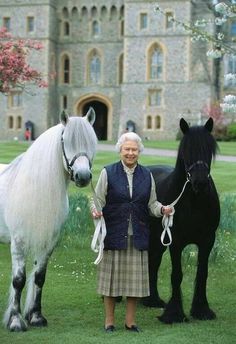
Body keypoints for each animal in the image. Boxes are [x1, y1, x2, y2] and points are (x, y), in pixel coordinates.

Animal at [0, 107, 97, 330]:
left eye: (92, 140)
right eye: (65, 140)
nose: (83, 176)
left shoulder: (48, 243)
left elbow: (39, 278)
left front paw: (36, 317)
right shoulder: (18, 243)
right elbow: (18, 280)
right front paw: (16, 321)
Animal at [144, 117, 221, 322]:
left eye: (209, 149)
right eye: (186, 150)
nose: (200, 182)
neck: (193, 201)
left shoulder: (207, 240)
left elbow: (202, 273)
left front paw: (202, 310)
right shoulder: (176, 242)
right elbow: (176, 274)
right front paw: (174, 313)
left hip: (158, 241)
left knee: (153, 263)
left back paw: (152, 300)